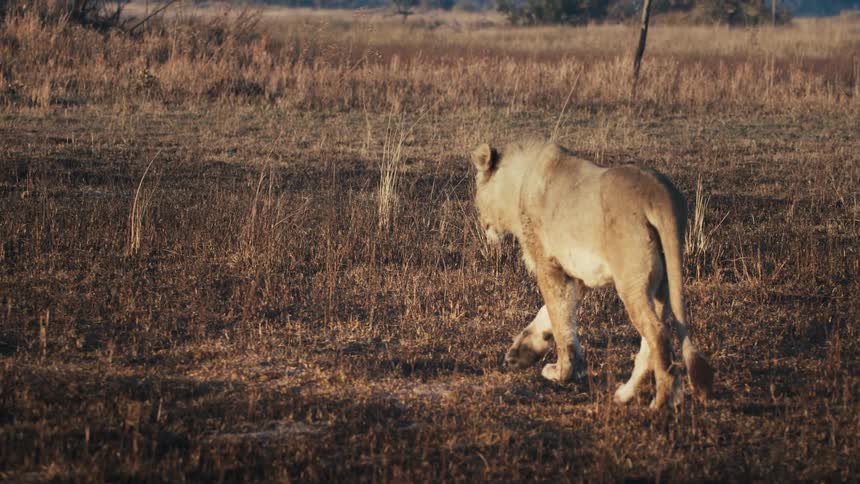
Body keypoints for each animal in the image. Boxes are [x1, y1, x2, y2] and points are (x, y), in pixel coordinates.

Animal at [470, 140, 713, 409]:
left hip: (632, 281)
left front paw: (562, 372)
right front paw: (523, 352)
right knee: (650, 342)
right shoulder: (577, 275)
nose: (482, 223)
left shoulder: (548, 265)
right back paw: (626, 394)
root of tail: (660, 194)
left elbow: (560, 320)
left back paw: (661, 403)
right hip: (663, 284)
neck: (518, 182)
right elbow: (554, 313)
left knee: (657, 334)